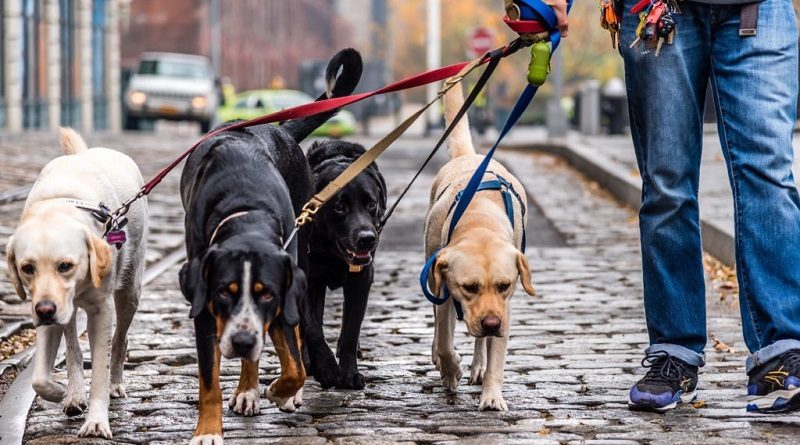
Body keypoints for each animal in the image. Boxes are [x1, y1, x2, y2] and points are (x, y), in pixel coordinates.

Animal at [179, 49, 362, 444]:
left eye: (266, 293)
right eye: (224, 291)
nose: (242, 341)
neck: (247, 208)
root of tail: (276, 128)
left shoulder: (283, 293)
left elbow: (295, 364)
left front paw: (282, 391)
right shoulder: (205, 306)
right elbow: (208, 380)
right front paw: (208, 431)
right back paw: (246, 389)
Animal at [302, 140, 386, 386]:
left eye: (371, 204)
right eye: (339, 207)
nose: (367, 238)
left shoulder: (362, 279)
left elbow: (351, 330)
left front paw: (350, 375)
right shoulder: (307, 277)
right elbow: (312, 327)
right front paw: (327, 368)